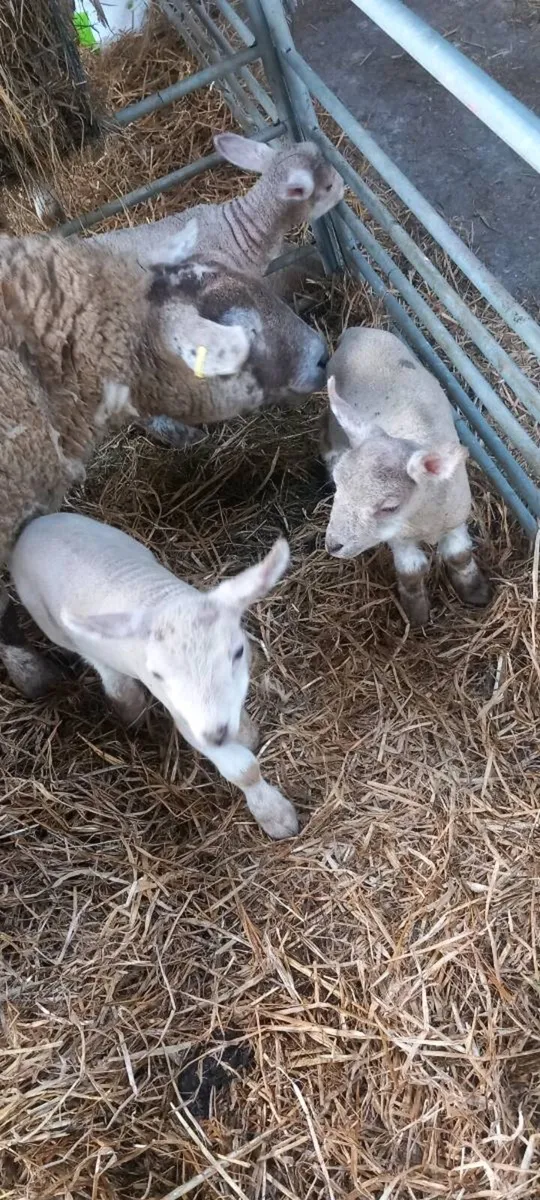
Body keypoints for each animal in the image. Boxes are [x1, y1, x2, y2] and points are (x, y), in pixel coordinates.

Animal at [9, 513, 299, 840]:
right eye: (157, 674)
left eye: (238, 652)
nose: (216, 735)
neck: (161, 599)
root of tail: (33, 526)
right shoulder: (184, 716)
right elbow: (243, 770)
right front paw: (275, 815)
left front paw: (247, 733)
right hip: (50, 622)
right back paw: (128, 702)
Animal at [321, 328, 492, 626]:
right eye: (339, 484)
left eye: (389, 507)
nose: (333, 545)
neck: (424, 520)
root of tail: (357, 331)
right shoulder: (399, 537)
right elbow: (412, 572)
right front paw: (417, 615)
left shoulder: (455, 517)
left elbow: (459, 556)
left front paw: (476, 592)